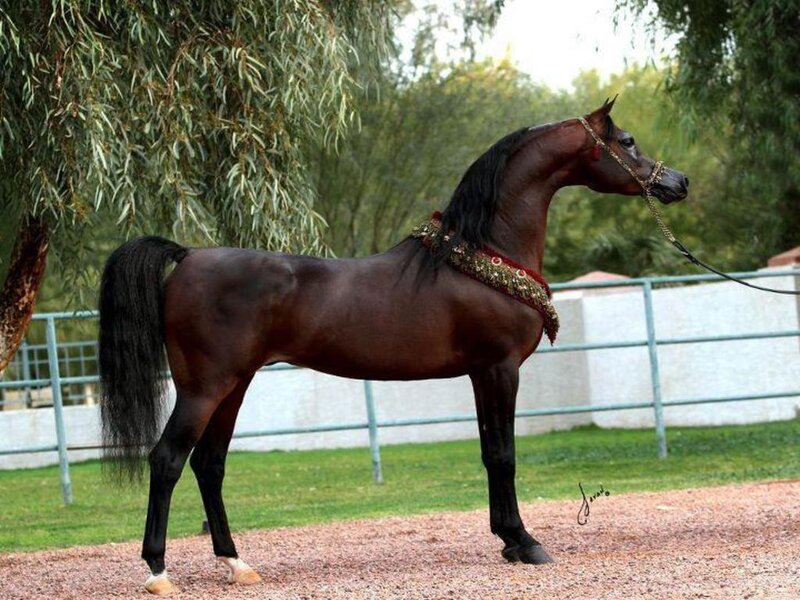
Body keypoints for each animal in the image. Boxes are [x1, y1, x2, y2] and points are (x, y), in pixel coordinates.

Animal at [98, 99, 688, 595]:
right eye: (629, 140)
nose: (677, 182)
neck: (483, 253)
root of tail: (188, 254)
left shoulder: (480, 374)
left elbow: (488, 453)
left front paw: (506, 540)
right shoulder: (500, 370)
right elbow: (504, 454)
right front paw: (526, 543)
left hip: (234, 386)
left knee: (210, 464)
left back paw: (237, 563)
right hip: (204, 387)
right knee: (167, 460)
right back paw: (158, 572)